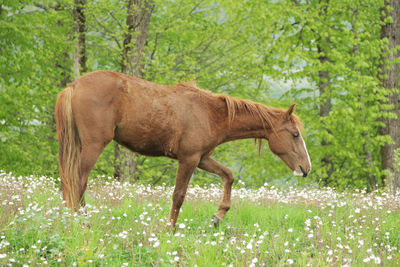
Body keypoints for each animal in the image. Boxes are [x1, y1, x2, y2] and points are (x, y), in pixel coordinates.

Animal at [55, 70, 312, 228]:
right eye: (295, 134)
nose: (306, 168)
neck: (209, 113)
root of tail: (74, 85)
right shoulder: (188, 160)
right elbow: (179, 195)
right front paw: (170, 228)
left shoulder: (202, 159)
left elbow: (228, 176)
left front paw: (218, 216)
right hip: (93, 146)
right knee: (78, 181)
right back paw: (82, 223)